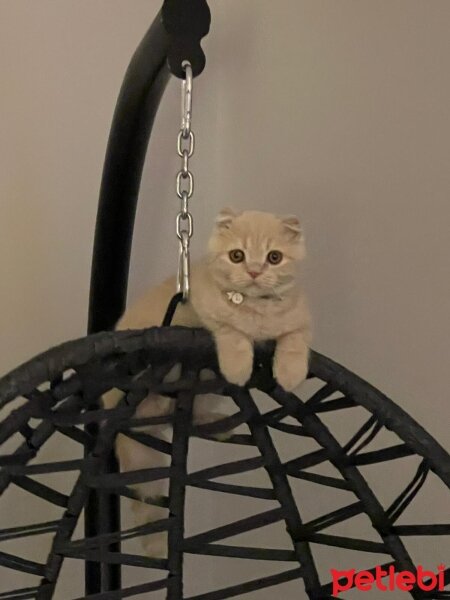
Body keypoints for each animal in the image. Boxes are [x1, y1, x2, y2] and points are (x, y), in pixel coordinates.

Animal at [103, 207, 312, 556]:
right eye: (237, 255)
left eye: (274, 257)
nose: (254, 271)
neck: (258, 312)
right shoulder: (203, 311)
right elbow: (231, 332)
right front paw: (239, 365)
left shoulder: (300, 318)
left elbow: (295, 339)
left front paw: (290, 373)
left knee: (192, 418)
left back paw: (218, 425)